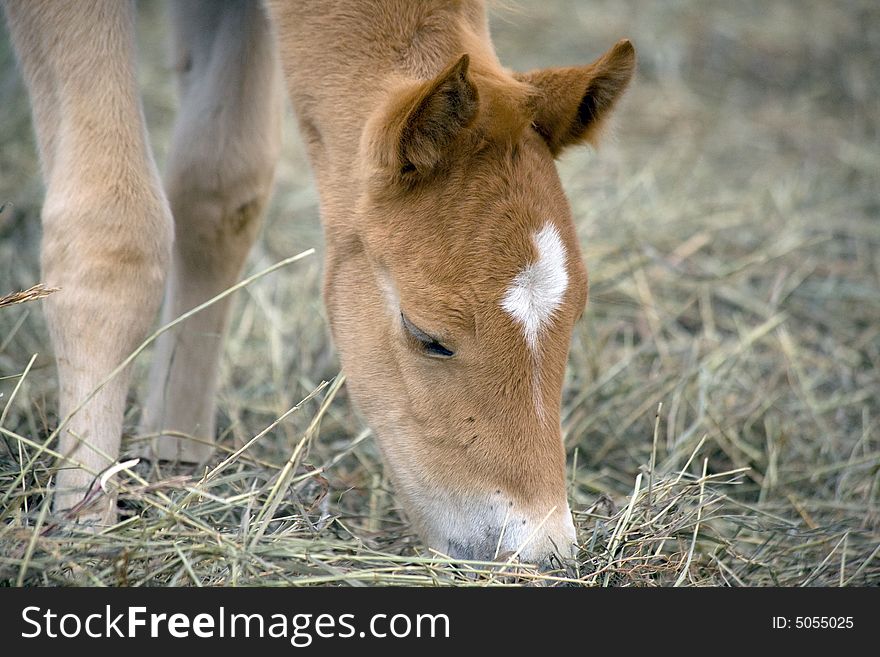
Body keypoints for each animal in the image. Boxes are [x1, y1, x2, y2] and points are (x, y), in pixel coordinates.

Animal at [5, 0, 632, 564]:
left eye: (575, 319)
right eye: (427, 335)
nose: (541, 550)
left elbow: (220, 190)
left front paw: (176, 459)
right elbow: (113, 232)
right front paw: (85, 519)